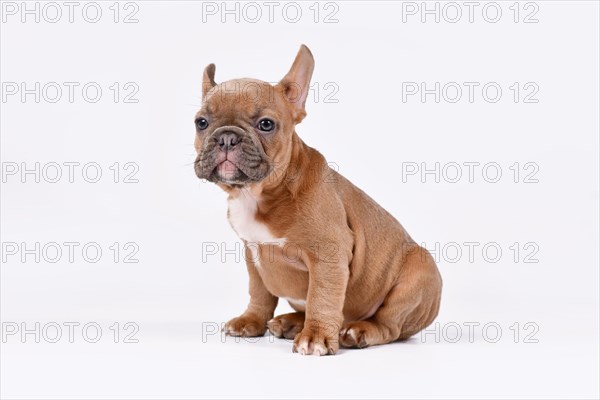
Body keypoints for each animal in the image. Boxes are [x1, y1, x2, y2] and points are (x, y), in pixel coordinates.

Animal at [195, 45, 442, 354]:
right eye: (201, 122)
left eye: (266, 124)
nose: (227, 137)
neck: (258, 194)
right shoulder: (252, 253)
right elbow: (259, 291)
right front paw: (251, 320)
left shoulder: (328, 253)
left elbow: (321, 297)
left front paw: (316, 336)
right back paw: (290, 322)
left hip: (418, 272)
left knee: (389, 325)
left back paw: (357, 330)